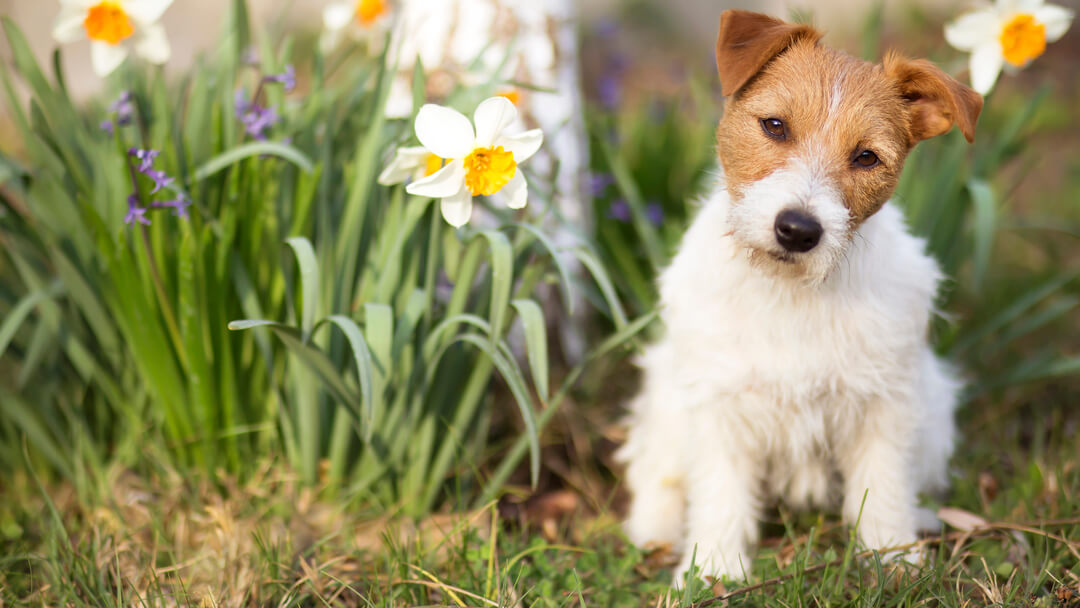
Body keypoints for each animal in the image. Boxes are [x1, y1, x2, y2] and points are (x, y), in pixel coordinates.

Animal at [617, 7, 980, 583]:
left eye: (866, 157)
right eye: (774, 125)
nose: (797, 230)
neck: (791, 292)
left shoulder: (886, 402)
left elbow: (883, 484)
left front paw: (894, 557)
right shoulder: (719, 403)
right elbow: (720, 493)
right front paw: (714, 569)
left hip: (936, 403)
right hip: (666, 396)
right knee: (657, 470)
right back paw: (655, 528)